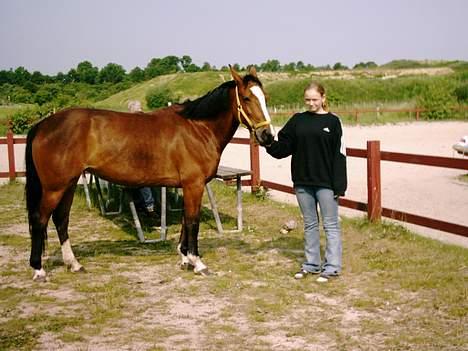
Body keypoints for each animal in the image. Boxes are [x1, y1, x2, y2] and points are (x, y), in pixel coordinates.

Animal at [25, 66, 274, 282]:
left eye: (265, 98)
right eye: (247, 98)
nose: (267, 136)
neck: (197, 128)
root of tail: (42, 125)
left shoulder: (188, 186)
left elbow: (185, 220)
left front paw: (184, 258)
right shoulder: (194, 185)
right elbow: (193, 222)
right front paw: (197, 263)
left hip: (68, 184)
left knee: (61, 220)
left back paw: (74, 264)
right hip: (55, 187)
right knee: (40, 219)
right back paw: (38, 270)